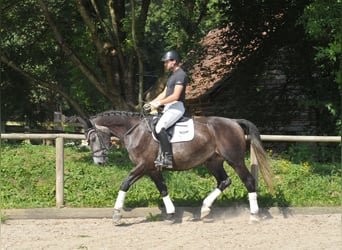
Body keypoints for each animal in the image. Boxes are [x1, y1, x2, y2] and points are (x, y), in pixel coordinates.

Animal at [77, 110, 272, 224]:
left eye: (93, 138)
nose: (99, 162)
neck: (134, 130)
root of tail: (233, 122)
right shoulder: (152, 169)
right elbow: (163, 189)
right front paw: (170, 214)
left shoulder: (143, 165)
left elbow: (125, 183)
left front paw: (117, 214)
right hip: (213, 161)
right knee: (224, 181)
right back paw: (205, 208)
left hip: (235, 160)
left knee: (249, 181)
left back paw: (254, 215)